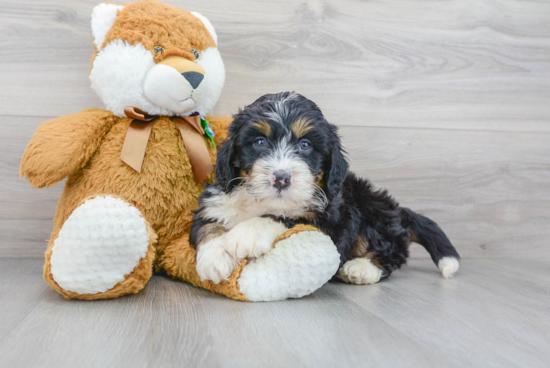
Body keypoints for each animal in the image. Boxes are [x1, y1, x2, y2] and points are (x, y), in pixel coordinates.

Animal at [191, 92, 462, 284]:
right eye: (259, 142)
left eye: (305, 146)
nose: (281, 178)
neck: (262, 201)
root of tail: (398, 211)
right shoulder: (215, 200)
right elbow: (207, 225)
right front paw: (214, 257)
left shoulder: (330, 221)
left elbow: (287, 217)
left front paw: (247, 233)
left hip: (372, 212)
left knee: (392, 251)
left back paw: (361, 268)